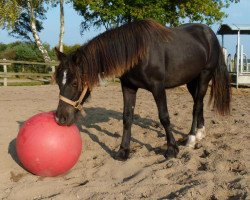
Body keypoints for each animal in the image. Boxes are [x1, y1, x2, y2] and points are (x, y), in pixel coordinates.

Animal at [54, 19, 230, 160]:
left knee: (196, 105)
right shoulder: (128, 87)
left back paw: (192, 138)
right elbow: (127, 117)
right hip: (191, 81)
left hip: (205, 75)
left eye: (75, 82)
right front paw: (123, 151)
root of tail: (210, 34)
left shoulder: (158, 87)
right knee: (198, 103)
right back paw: (200, 133)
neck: (137, 52)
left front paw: (171, 149)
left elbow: (164, 116)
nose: (60, 118)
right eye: (58, 81)